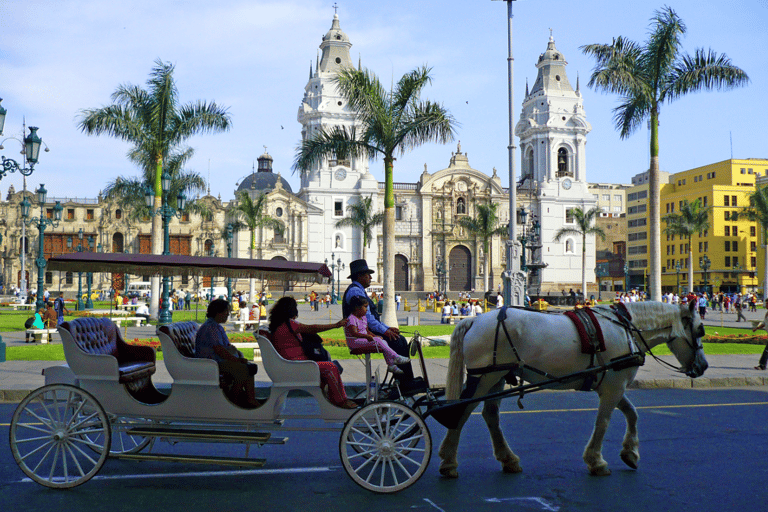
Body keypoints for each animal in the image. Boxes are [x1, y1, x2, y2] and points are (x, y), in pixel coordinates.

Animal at [438, 304, 708, 476]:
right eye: (699, 331)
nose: (704, 366)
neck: (626, 329)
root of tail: (474, 319)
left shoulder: (612, 383)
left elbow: (632, 413)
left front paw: (630, 453)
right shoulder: (613, 387)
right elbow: (603, 422)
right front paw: (596, 461)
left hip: (498, 377)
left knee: (490, 415)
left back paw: (508, 459)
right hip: (485, 377)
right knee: (461, 412)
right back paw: (449, 462)